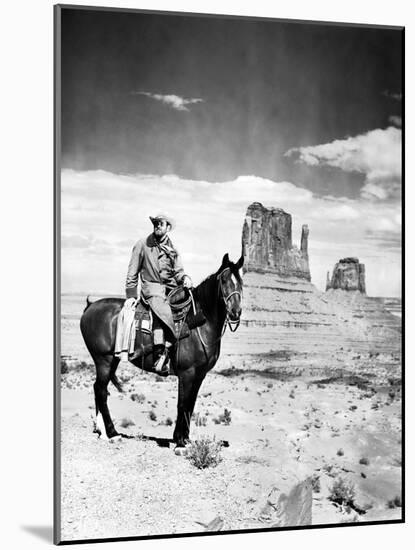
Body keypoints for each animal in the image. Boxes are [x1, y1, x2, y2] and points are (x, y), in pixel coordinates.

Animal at [79, 254, 244, 448]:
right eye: (224, 280)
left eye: (240, 281)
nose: (235, 312)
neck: (200, 323)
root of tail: (90, 306)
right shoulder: (187, 373)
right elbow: (182, 404)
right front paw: (180, 442)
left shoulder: (200, 375)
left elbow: (190, 405)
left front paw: (185, 438)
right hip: (103, 360)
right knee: (101, 391)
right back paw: (112, 433)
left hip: (113, 360)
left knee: (98, 389)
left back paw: (102, 431)